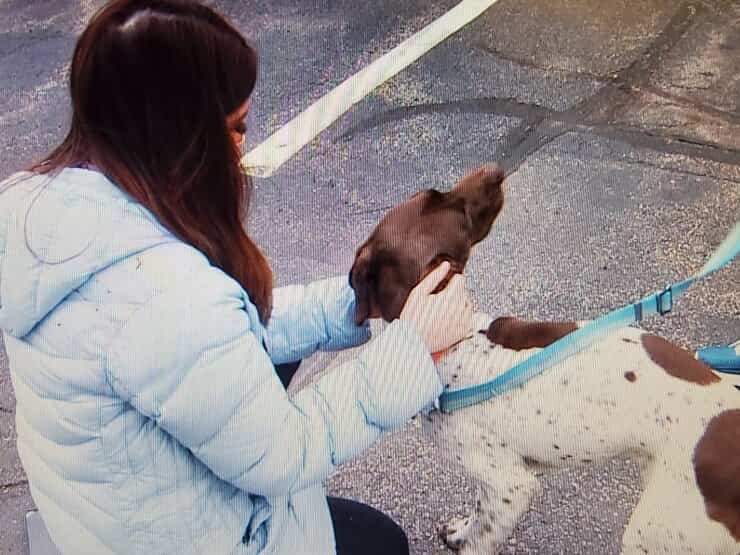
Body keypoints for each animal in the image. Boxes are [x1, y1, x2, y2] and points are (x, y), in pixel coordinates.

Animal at [348, 165, 740, 555]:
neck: (458, 340)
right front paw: (460, 531)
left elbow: (481, 536)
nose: (495, 170)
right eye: (439, 198)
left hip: (654, 531)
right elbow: (478, 512)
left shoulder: (511, 486)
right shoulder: (495, 482)